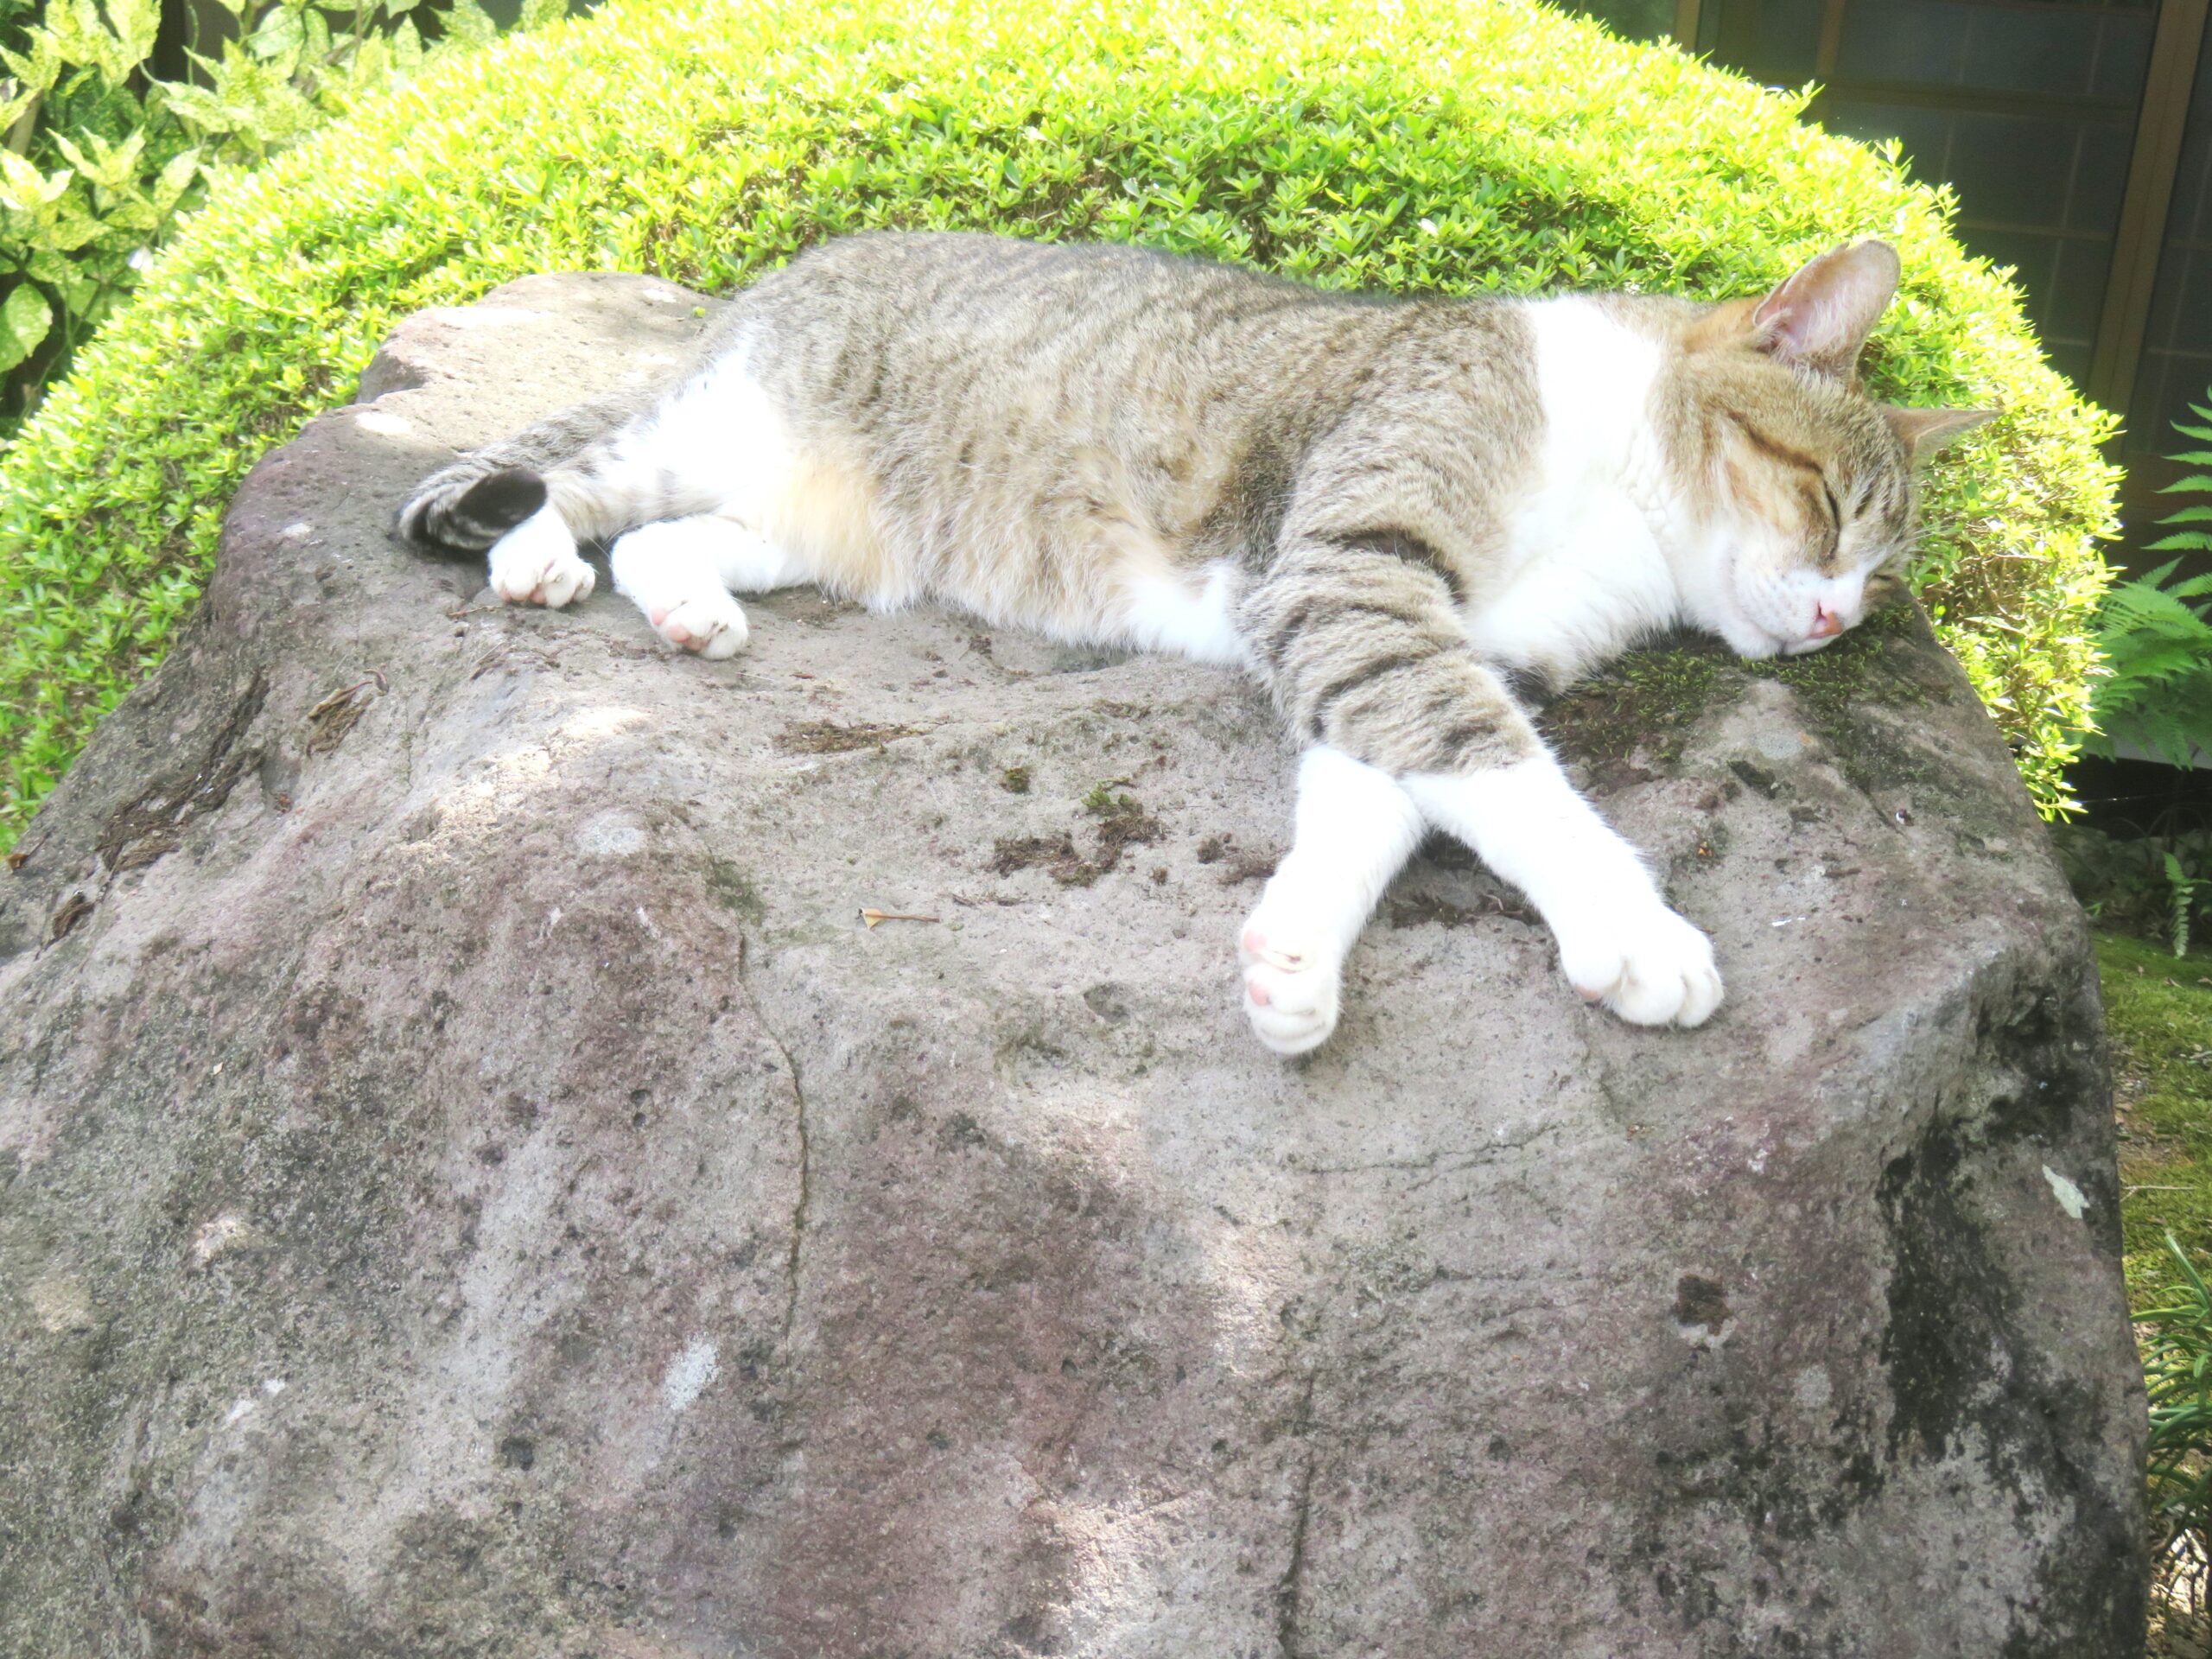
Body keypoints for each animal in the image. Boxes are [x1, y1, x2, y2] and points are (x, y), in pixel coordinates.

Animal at [393, 234, 1991, 1057]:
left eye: (1881, 575)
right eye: (1829, 507)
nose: (1839, 620)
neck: (1621, 493)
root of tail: (784, 272)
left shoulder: (1423, 637)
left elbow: (1383, 797)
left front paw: (1294, 963)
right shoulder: (1352, 575)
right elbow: (1511, 781)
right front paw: (1638, 932)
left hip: (828, 530)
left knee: (671, 541)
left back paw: (685, 606)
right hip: (721, 427)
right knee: (585, 477)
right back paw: (536, 554)